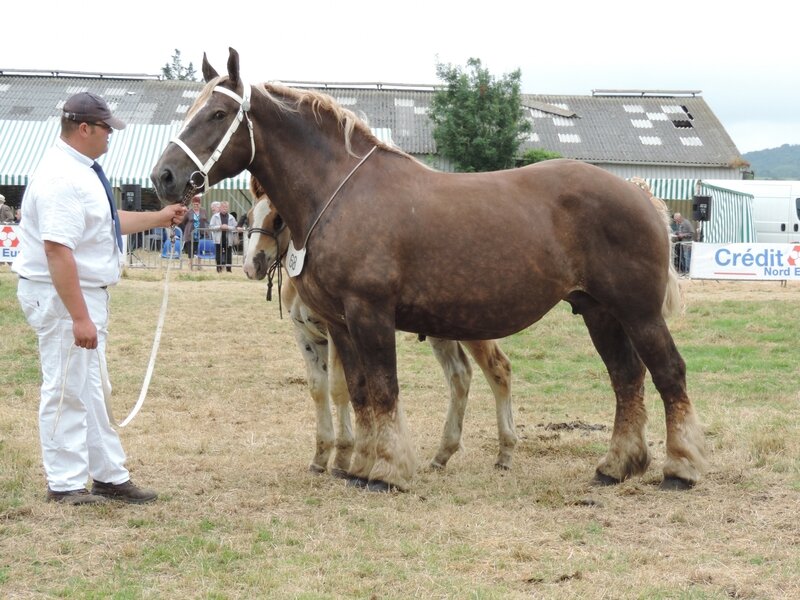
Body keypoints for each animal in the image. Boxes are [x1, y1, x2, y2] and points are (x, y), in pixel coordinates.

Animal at [244, 176, 520, 476]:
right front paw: (320, 457)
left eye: (278, 220)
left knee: (498, 369)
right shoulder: (305, 336)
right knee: (460, 375)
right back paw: (442, 454)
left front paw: (343, 457)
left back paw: (505, 453)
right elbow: (318, 389)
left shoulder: (337, 331)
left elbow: (340, 388)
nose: (252, 265)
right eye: (249, 216)